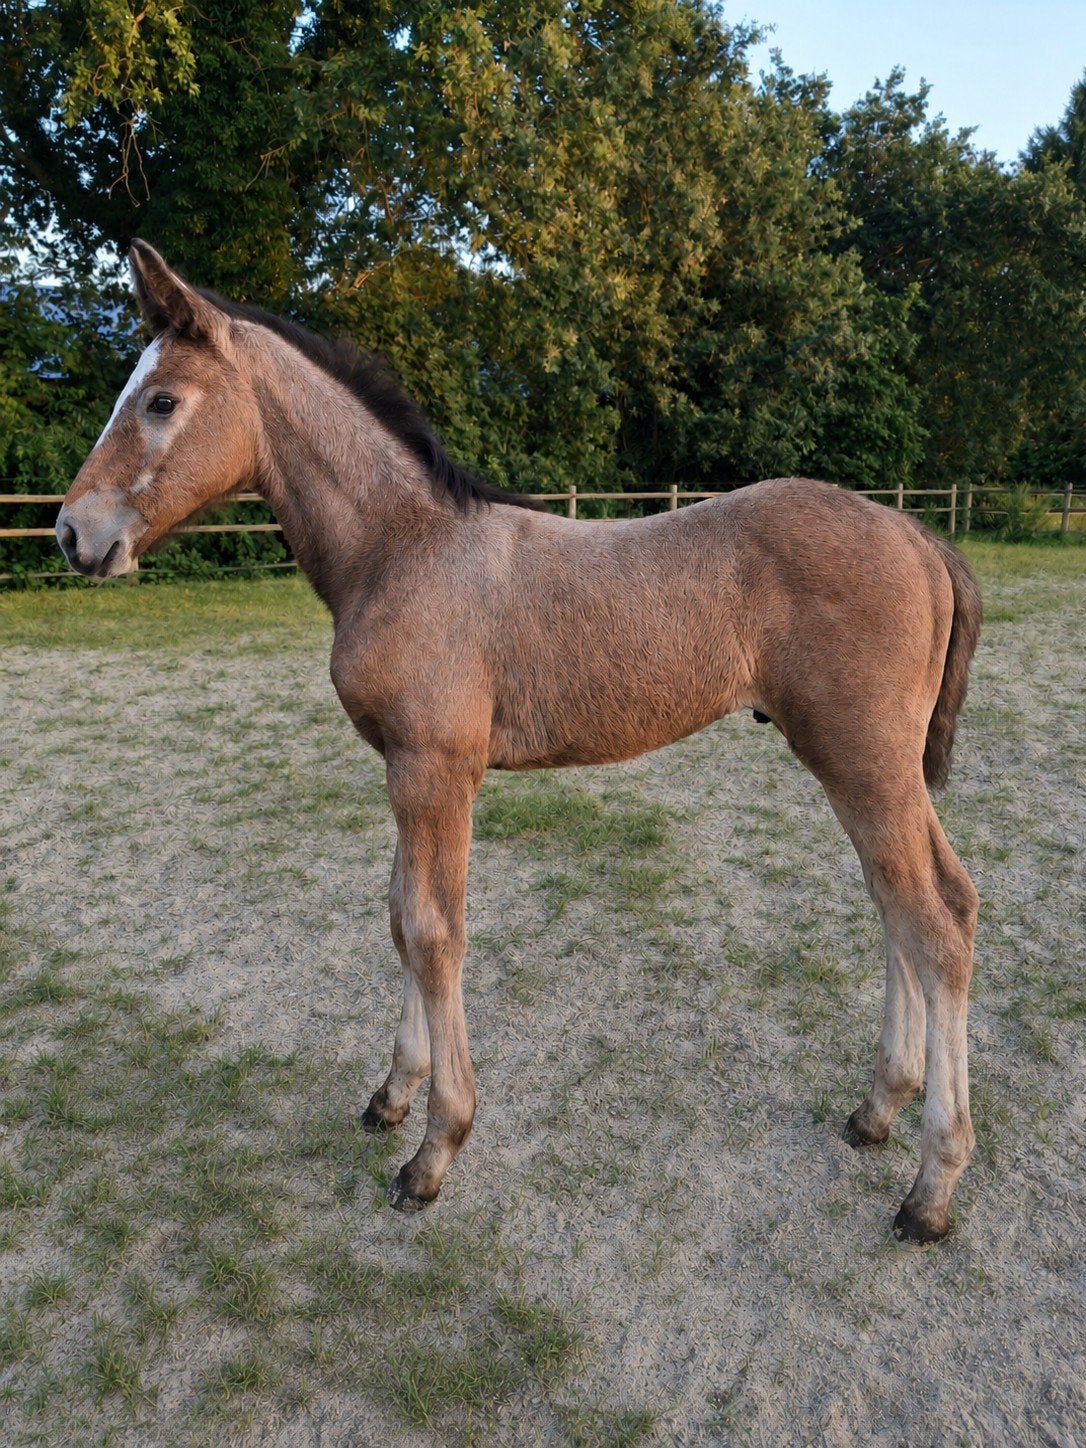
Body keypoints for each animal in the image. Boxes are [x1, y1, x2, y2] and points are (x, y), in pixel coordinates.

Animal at [56, 241, 982, 1243]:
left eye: (160, 401)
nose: (73, 532)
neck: (406, 548)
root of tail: (917, 532)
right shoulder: (405, 770)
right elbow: (399, 916)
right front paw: (392, 1095)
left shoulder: (437, 770)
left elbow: (434, 932)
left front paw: (433, 1152)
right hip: (864, 767)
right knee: (902, 905)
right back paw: (876, 1110)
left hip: (864, 761)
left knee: (936, 923)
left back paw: (930, 1189)